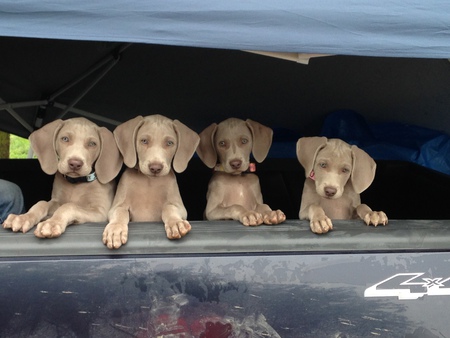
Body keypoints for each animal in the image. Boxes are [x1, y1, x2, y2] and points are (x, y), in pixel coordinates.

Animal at [103, 113, 200, 248]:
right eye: (144, 141)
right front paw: (115, 230)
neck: (149, 181)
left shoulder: (179, 206)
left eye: (169, 143)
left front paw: (175, 223)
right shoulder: (117, 206)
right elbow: (120, 213)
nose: (155, 168)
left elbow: (169, 208)